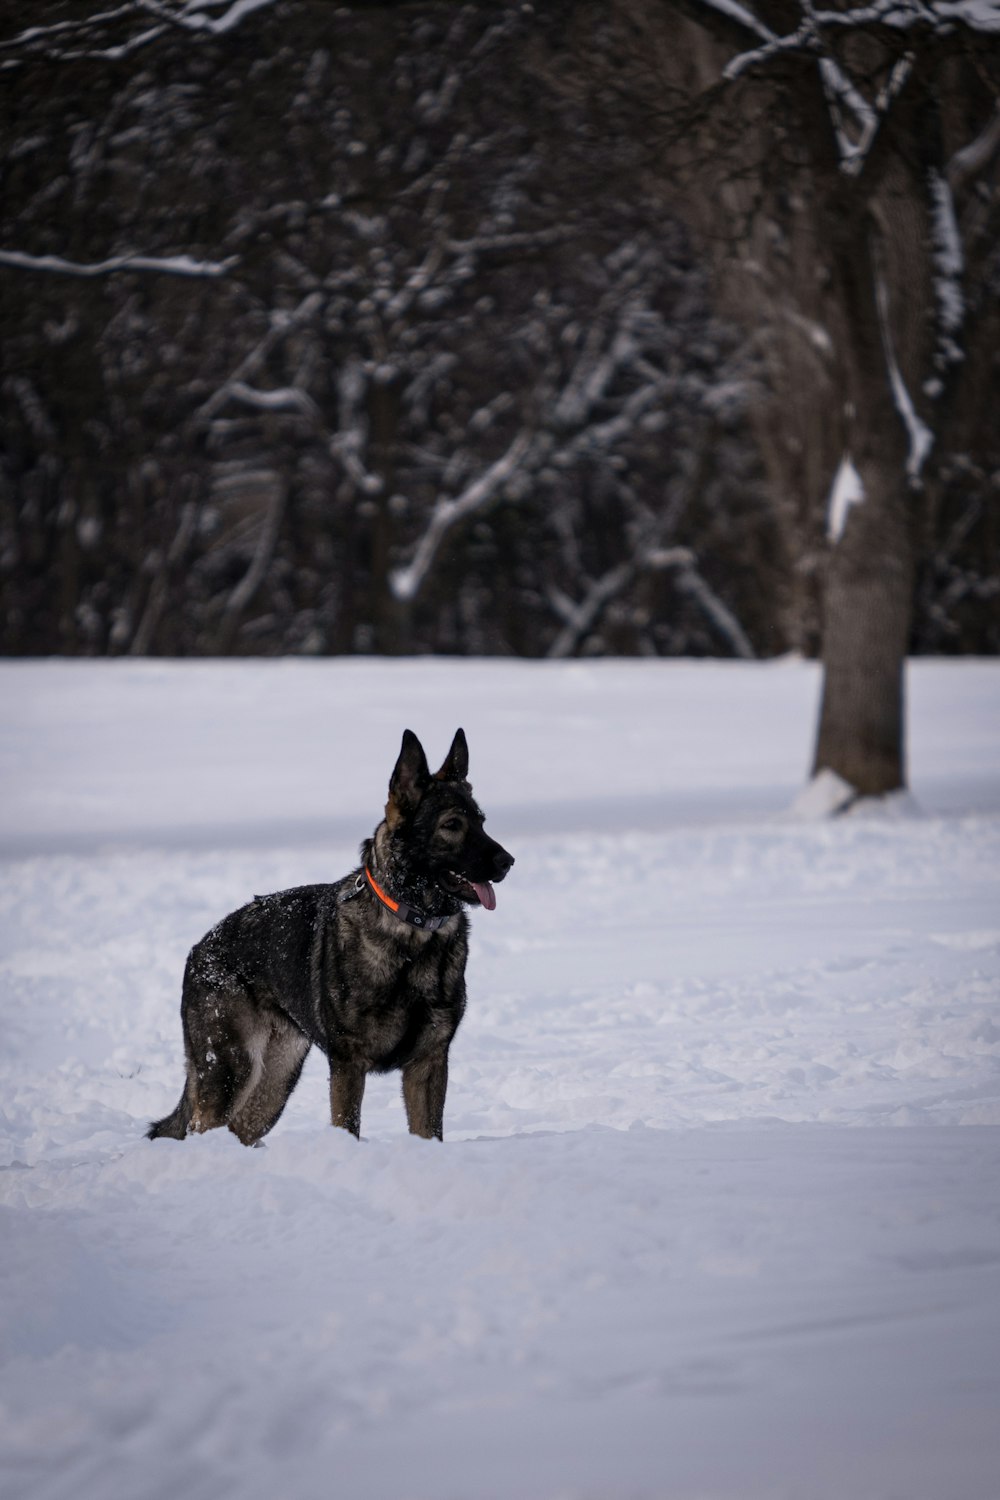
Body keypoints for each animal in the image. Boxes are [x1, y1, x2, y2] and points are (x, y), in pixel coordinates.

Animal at [148, 732, 515, 1140]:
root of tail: (199, 949)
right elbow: (348, 1125)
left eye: (481, 823)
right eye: (452, 824)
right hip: (230, 1070)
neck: (411, 928)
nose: (508, 862)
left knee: (241, 1129)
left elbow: (428, 1131)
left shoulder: (428, 1062)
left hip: (277, 1079)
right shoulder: (349, 1063)